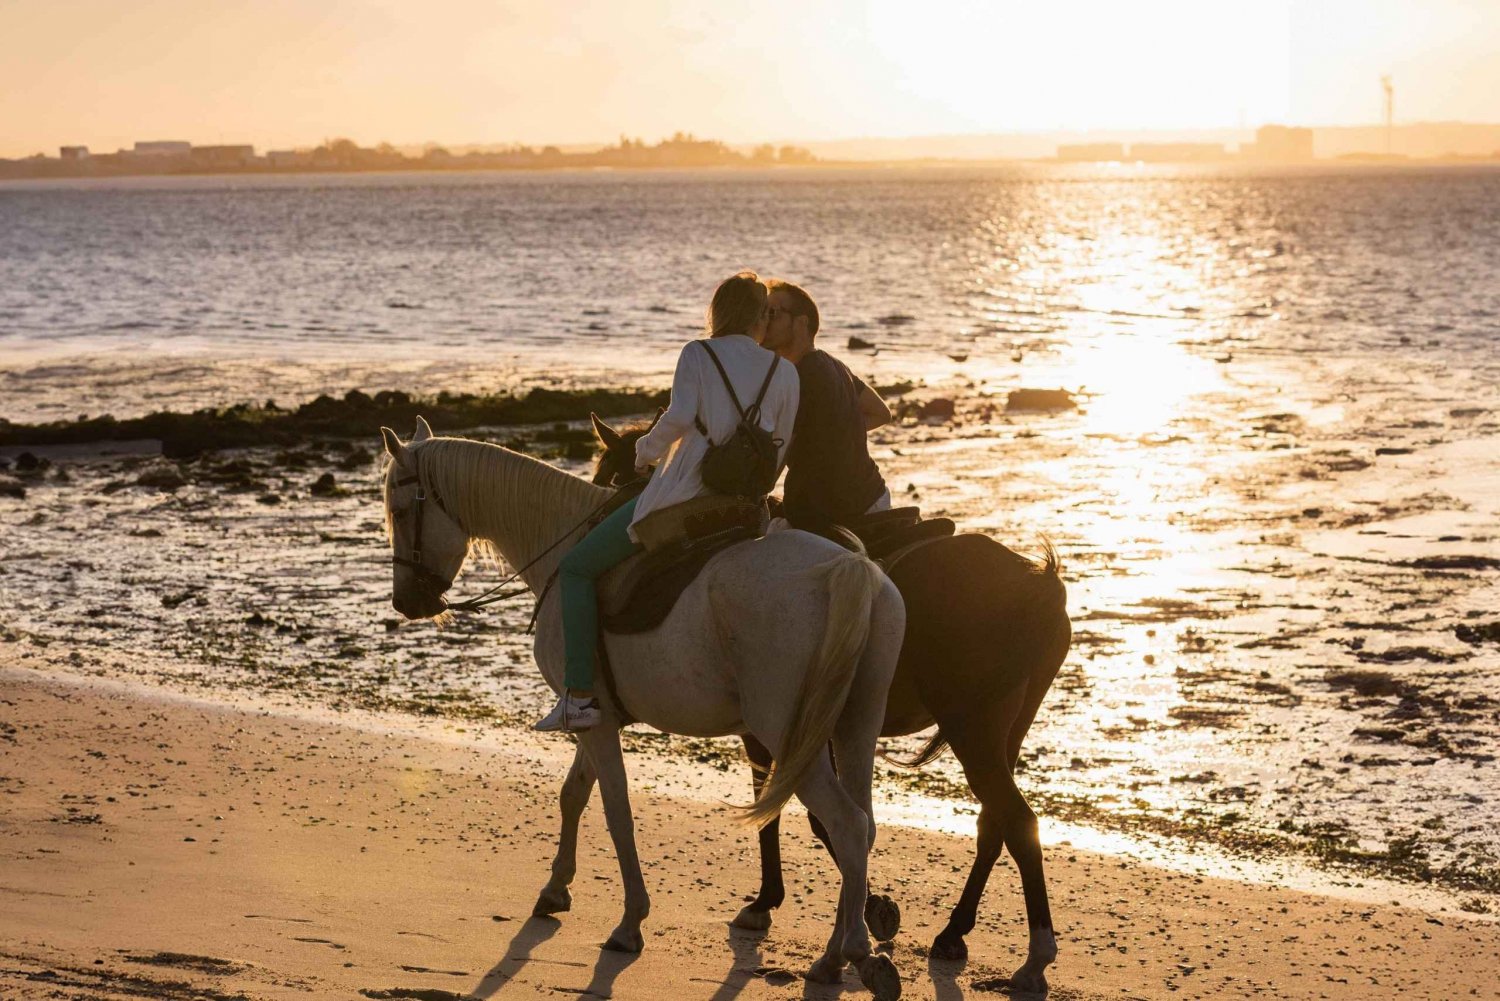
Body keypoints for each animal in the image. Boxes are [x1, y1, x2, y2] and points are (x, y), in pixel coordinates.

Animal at [381, 420, 906, 996]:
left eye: (400, 511)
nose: (407, 602)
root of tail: (847, 566)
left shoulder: (600, 726)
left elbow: (616, 813)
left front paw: (629, 922)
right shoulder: (592, 713)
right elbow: (573, 795)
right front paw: (555, 889)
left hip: (793, 739)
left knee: (846, 825)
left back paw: (845, 952)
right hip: (853, 729)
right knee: (862, 823)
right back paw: (839, 950)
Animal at [591, 417, 1074, 996]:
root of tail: (1038, 581)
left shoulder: (775, 729)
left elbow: (795, 813)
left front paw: (817, 910)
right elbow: (814, 817)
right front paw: (855, 914)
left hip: (971, 727)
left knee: (1015, 821)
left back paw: (1032, 959)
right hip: (1005, 729)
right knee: (993, 822)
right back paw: (955, 931)